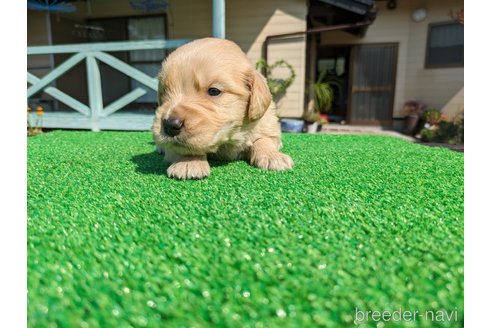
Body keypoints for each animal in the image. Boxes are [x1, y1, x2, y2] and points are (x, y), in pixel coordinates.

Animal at [152, 37, 294, 179]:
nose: (170, 125)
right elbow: (184, 148)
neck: (228, 139)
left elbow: (264, 140)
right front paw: (189, 162)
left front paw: (273, 156)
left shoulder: (265, 124)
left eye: (214, 91)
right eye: (164, 93)